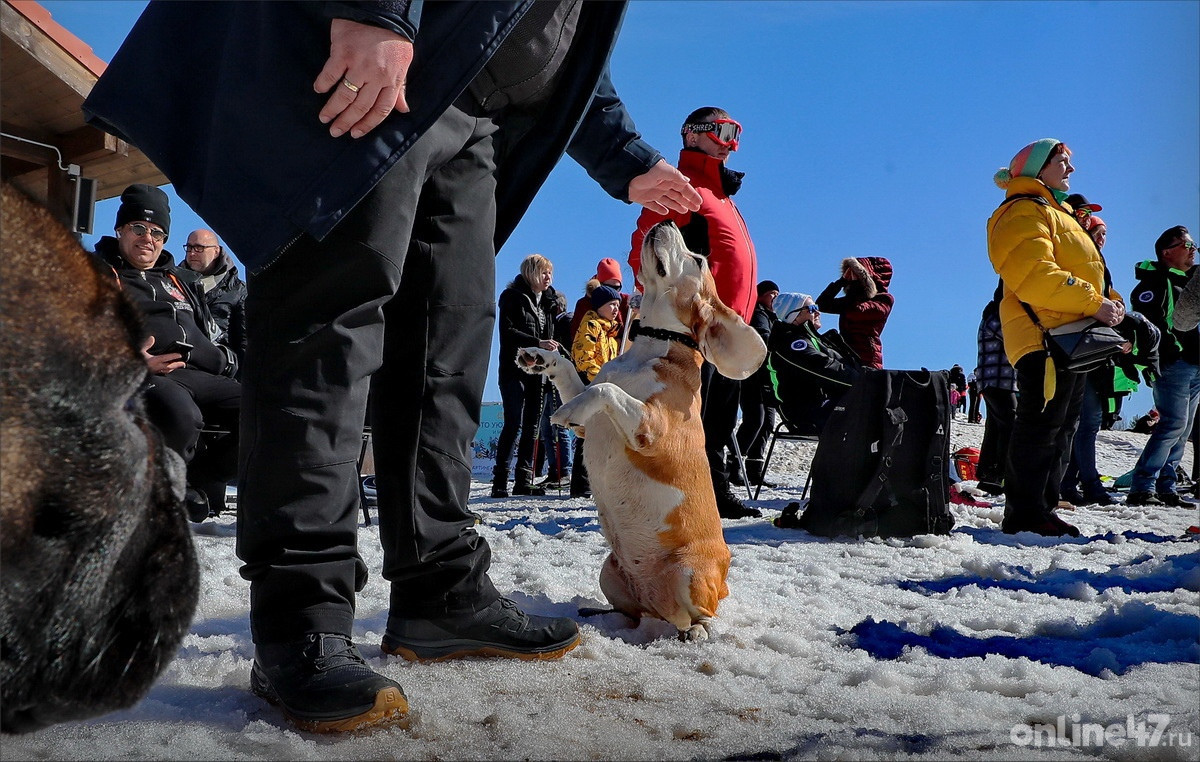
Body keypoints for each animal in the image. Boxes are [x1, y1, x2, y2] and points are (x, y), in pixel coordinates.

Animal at [513, 223, 758, 643]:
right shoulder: (591, 421)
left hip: (689, 573)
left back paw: (698, 632)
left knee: (703, 615)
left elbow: (604, 391)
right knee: (634, 612)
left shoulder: (649, 429)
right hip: (610, 572)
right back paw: (602, 614)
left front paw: (567, 408)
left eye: (698, 260)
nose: (669, 222)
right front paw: (541, 357)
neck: (650, 348)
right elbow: (576, 374)